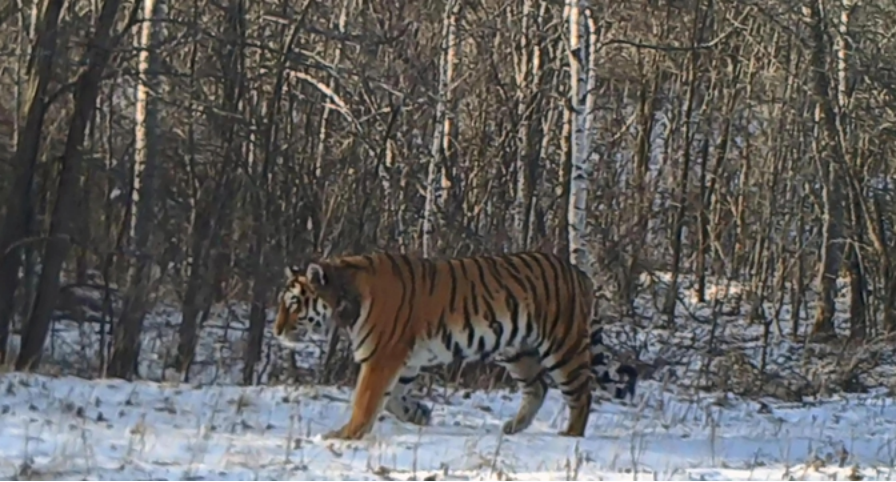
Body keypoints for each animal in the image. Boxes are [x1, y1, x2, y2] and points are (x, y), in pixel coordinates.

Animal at [272, 250, 636, 442]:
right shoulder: (405, 361)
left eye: (293, 303)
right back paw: (513, 428)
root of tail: (581, 274)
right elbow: (393, 400)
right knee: (538, 388)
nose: (275, 330)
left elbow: (365, 400)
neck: (346, 298)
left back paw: (570, 436)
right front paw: (419, 413)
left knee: (582, 395)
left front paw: (345, 435)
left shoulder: (382, 357)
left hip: (563, 347)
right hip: (517, 350)